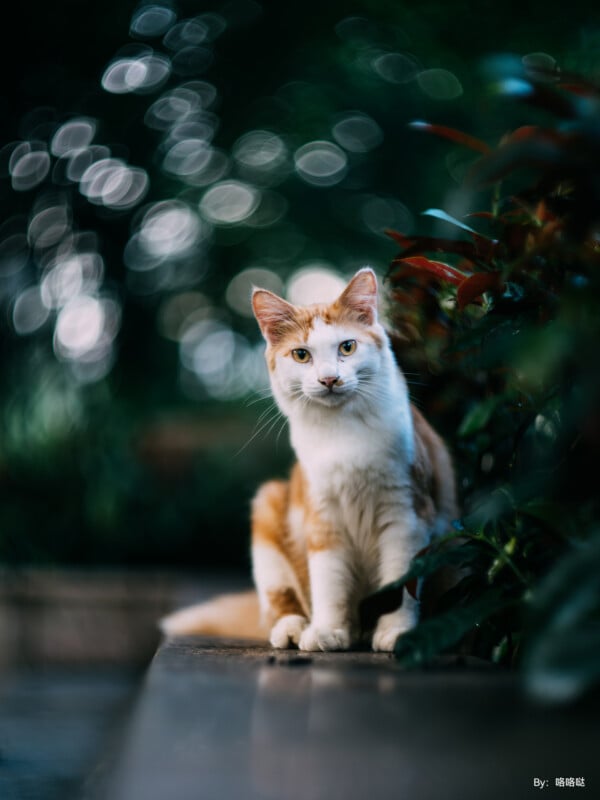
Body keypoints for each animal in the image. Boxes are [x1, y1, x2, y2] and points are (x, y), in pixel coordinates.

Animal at [162, 268, 458, 648]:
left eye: (347, 347)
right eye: (301, 355)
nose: (329, 379)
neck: (342, 433)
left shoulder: (406, 514)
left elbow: (400, 583)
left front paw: (396, 631)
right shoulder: (322, 518)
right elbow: (328, 583)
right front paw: (328, 631)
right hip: (268, 505)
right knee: (280, 603)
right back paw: (293, 630)